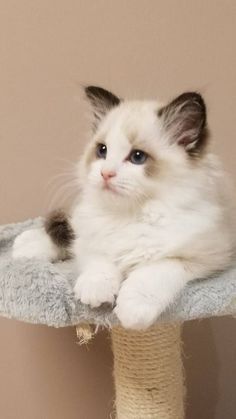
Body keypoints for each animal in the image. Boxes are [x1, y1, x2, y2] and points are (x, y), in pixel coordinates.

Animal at [12, 87, 235, 332]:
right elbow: (99, 260)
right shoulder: (94, 240)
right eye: (102, 151)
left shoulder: (205, 256)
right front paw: (95, 290)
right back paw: (22, 246)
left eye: (137, 157)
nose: (106, 173)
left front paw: (132, 310)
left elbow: (155, 271)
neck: (130, 215)